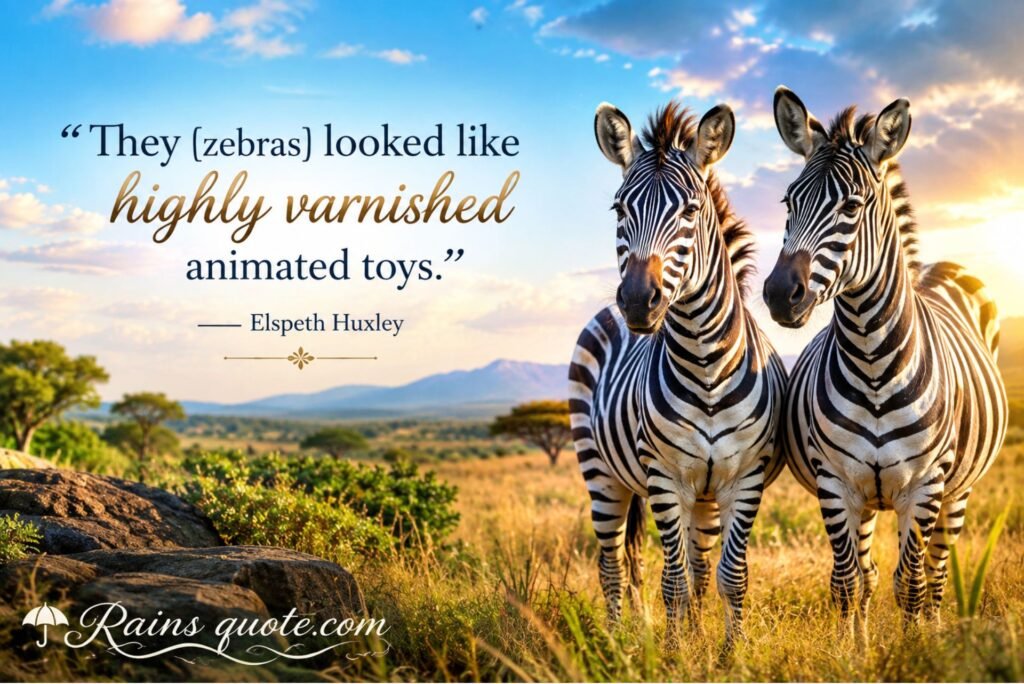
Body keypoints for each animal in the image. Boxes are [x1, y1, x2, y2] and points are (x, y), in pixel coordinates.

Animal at [569, 101, 788, 646]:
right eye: (619, 210)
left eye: (690, 211)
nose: (636, 302)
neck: (705, 362)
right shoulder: (664, 477)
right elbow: (671, 580)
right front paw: (670, 653)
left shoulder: (744, 478)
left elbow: (729, 575)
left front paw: (728, 651)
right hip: (601, 471)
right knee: (612, 564)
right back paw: (615, 641)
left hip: (700, 496)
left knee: (698, 566)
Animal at [763, 87, 1008, 640]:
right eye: (788, 201)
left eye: (853, 206)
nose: (780, 295)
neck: (872, 361)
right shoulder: (836, 482)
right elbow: (849, 583)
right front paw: (853, 650)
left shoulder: (924, 484)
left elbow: (911, 585)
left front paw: (913, 649)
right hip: (872, 498)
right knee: (869, 573)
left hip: (955, 492)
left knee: (936, 572)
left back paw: (935, 632)